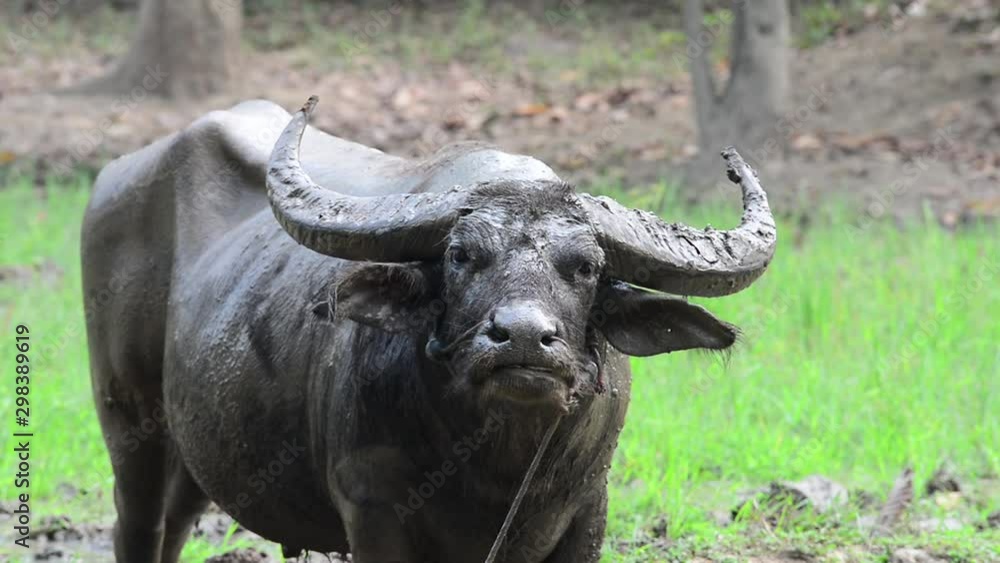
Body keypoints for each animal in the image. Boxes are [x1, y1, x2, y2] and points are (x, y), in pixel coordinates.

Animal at [82, 98, 776, 563]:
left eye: (584, 267)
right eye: (462, 256)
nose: (523, 338)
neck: (496, 464)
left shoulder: (588, 514)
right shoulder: (373, 514)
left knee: (176, 524)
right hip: (128, 419)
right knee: (138, 527)